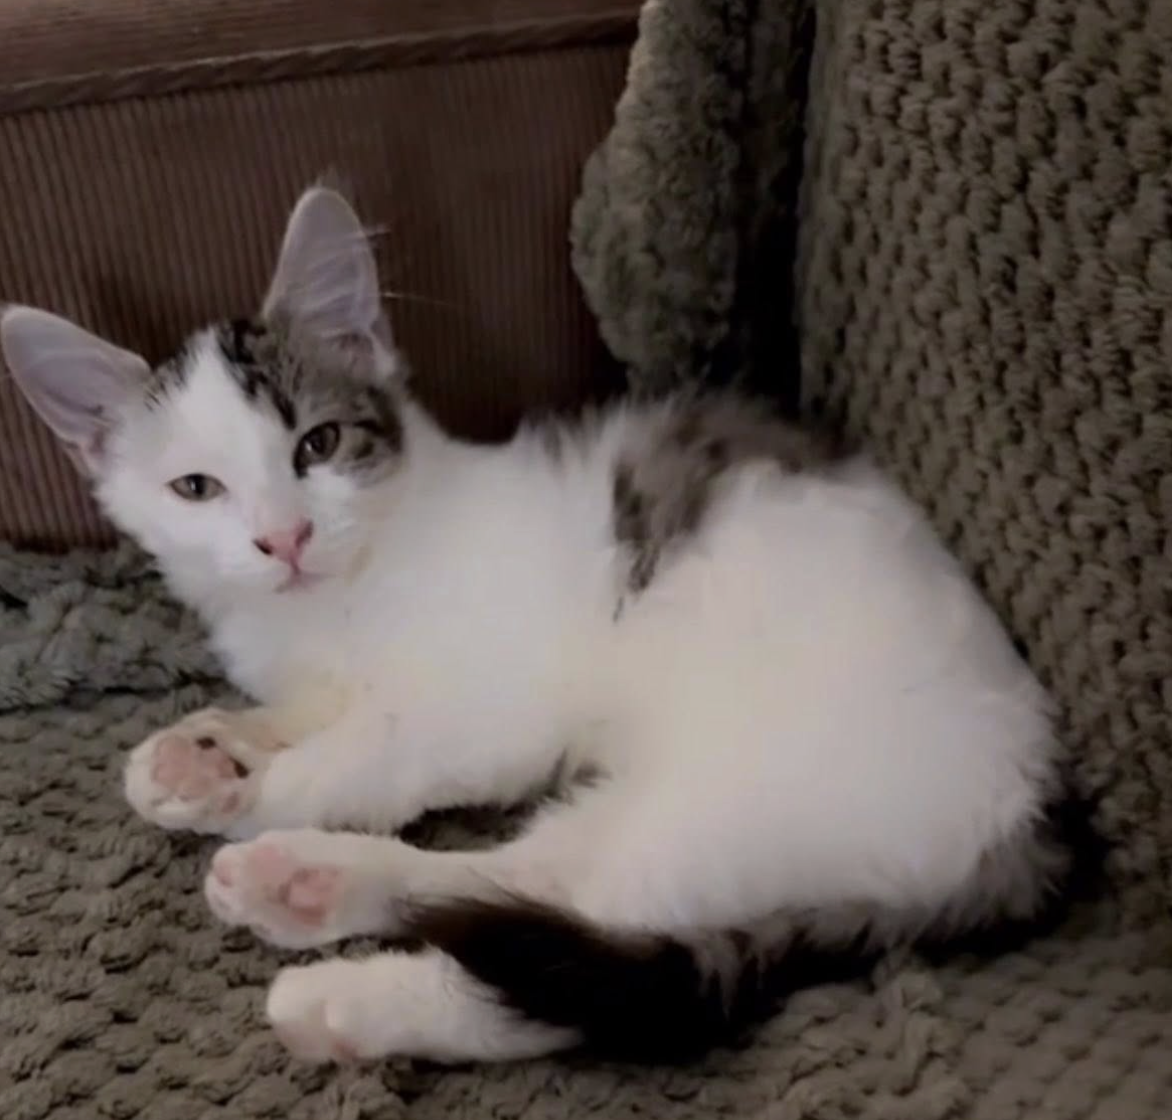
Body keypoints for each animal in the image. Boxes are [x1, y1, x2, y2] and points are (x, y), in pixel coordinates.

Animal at [1, 185, 1083, 1067]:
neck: (338, 597)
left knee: (553, 953)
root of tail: (1027, 818)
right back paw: (311, 884)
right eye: (197, 488)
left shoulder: (487, 705)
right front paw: (196, 754)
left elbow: (361, 754)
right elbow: (308, 714)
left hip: (739, 796)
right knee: (509, 887)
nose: (284, 538)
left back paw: (339, 990)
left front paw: (253, 789)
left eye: (318, 444)